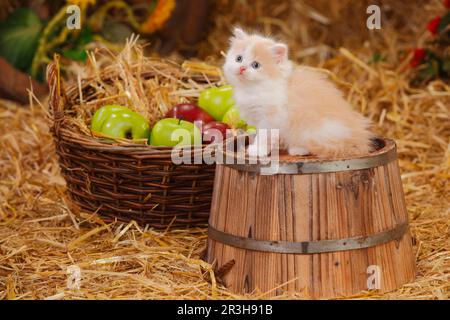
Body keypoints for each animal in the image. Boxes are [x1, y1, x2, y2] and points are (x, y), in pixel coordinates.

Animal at [221, 28, 372, 158]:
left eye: (255, 65)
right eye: (239, 58)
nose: (242, 68)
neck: (252, 89)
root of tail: (360, 141)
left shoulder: (271, 118)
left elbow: (263, 136)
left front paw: (258, 151)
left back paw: (298, 149)